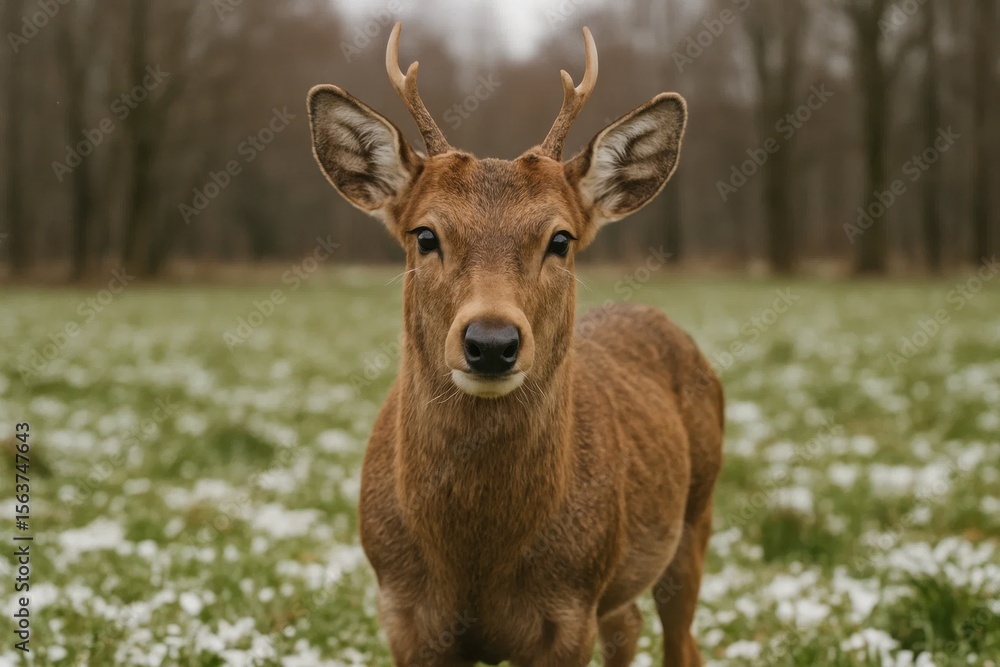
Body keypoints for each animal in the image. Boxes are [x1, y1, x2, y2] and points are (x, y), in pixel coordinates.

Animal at [307, 23, 724, 667]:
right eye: (425, 234)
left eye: (561, 239)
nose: (491, 341)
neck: (475, 560)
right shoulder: (403, 613)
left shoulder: (569, 611)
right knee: (628, 626)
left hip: (696, 516)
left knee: (681, 641)